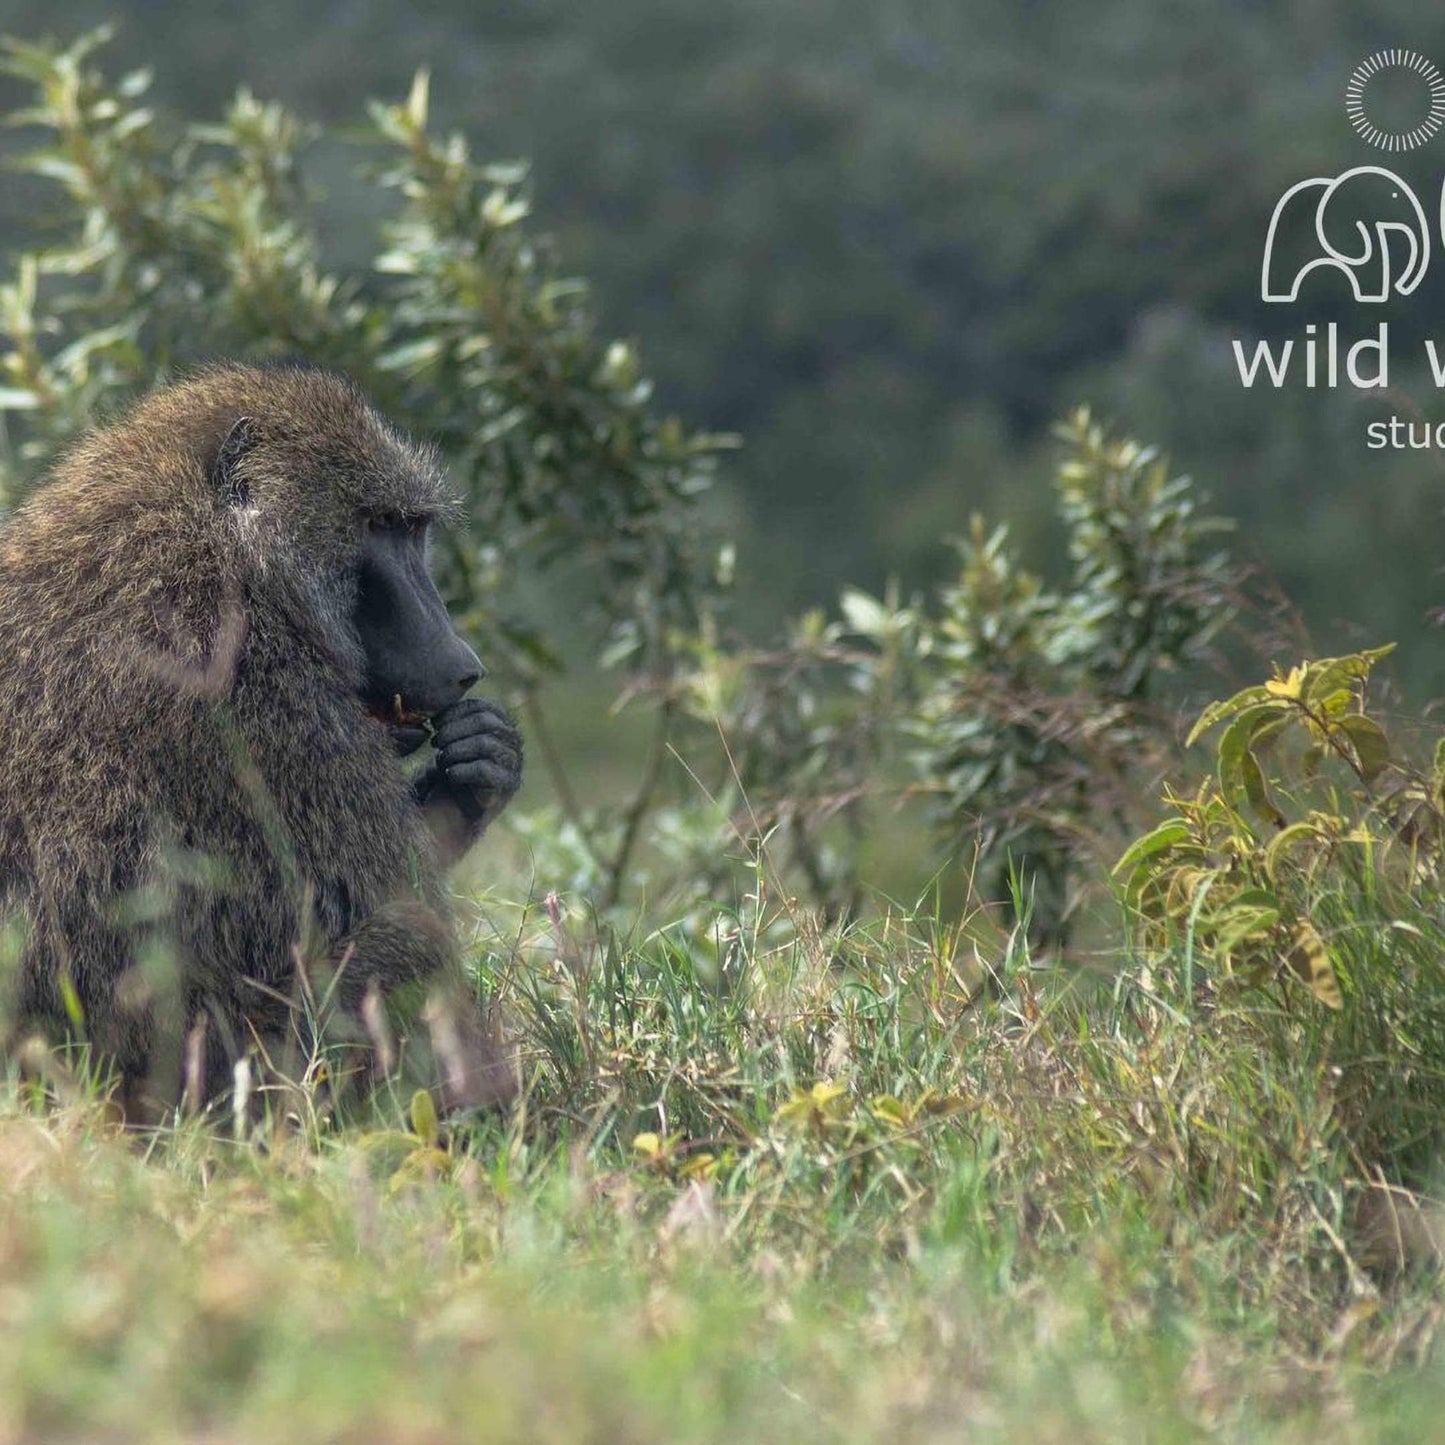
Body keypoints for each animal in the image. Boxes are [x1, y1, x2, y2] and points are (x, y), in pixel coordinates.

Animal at [0, 363, 524, 1117]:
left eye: (412, 528)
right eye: (379, 525)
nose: (462, 665)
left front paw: (481, 766)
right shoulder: (251, 683)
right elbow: (385, 900)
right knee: (408, 942)